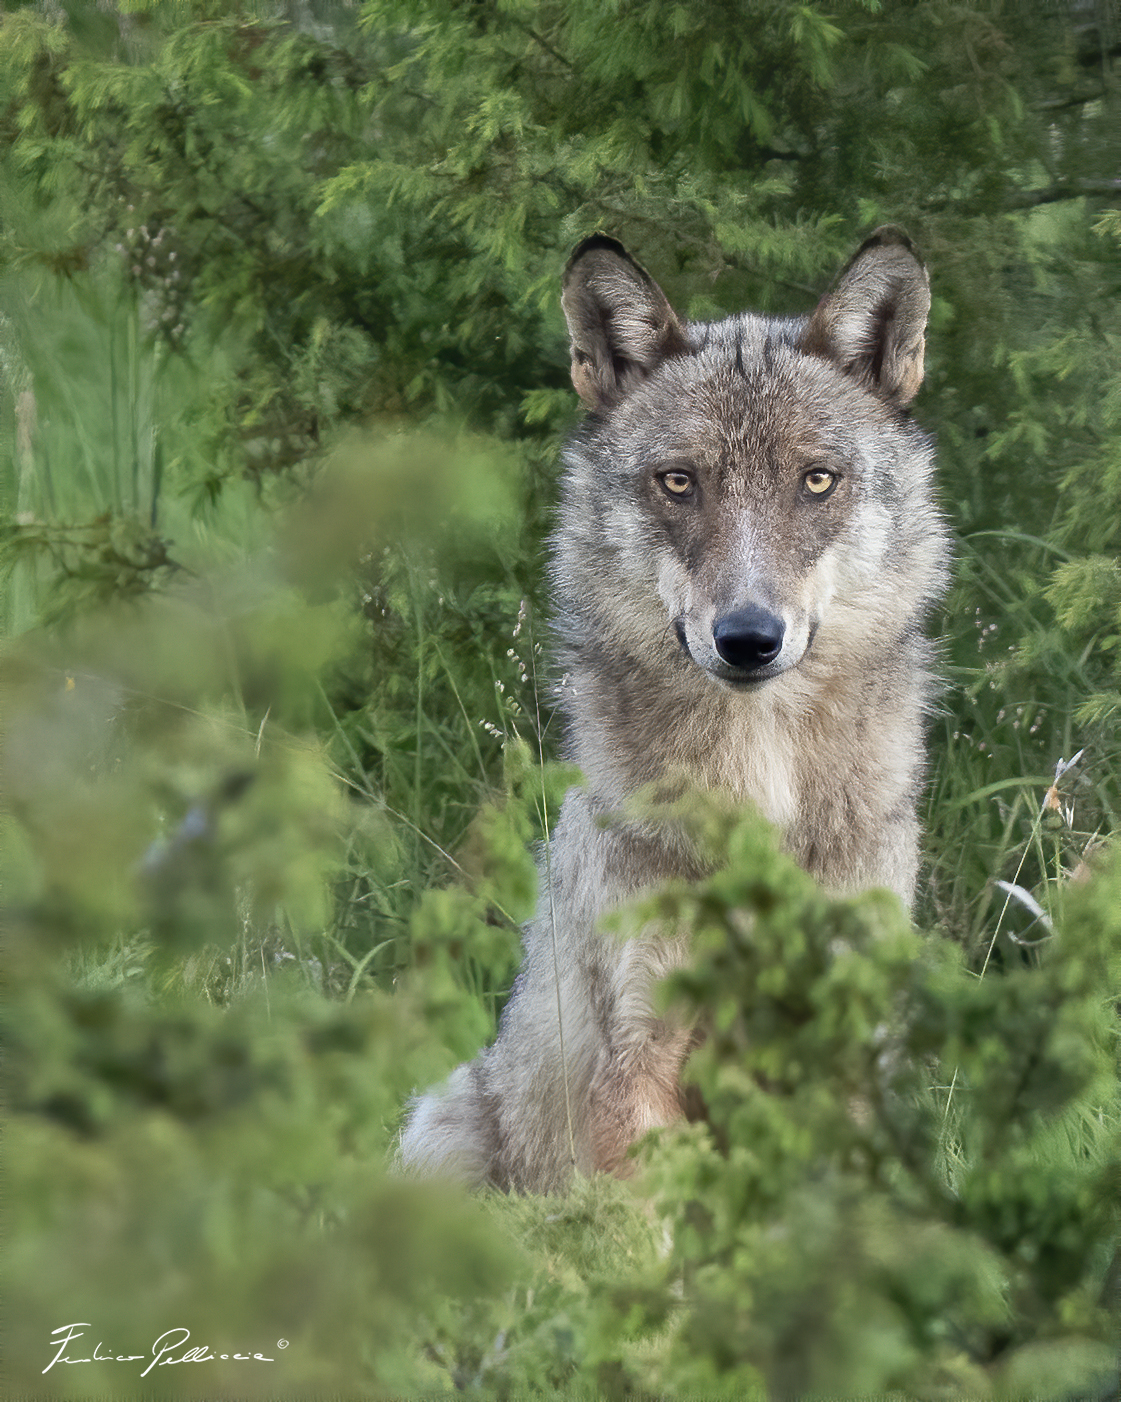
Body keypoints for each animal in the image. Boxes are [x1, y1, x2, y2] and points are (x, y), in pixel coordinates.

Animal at [400, 226, 950, 1194]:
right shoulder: (638, 1059)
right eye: (679, 482)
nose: (748, 638)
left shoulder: (844, 1056)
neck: (759, 794)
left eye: (816, 482)